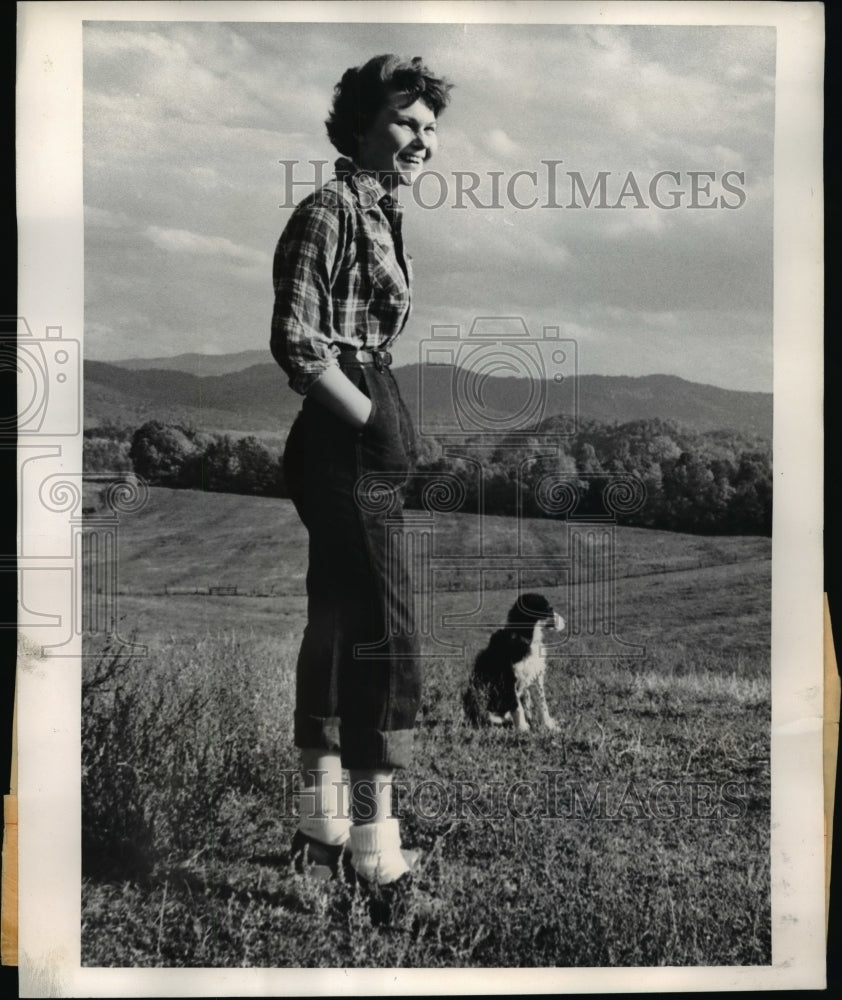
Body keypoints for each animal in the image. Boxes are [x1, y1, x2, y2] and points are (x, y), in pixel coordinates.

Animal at [460, 588, 564, 732]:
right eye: (549, 609)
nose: (565, 622)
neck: (528, 639)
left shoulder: (537, 675)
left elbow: (543, 704)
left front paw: (549, 725)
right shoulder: (508, 679)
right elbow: (517, 706)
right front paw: (523, 728)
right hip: (478, 694)